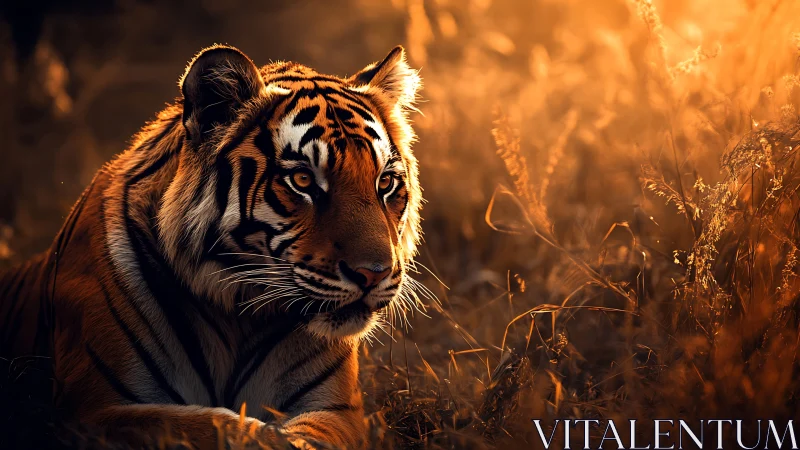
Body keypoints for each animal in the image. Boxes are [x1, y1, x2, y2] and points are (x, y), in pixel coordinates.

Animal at [0, 44, 422, 449]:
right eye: (302, 180)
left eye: (385, 183)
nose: (374, 274)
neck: (237, 317)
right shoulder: (93, 408)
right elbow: (217, 426)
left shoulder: (337, 410)